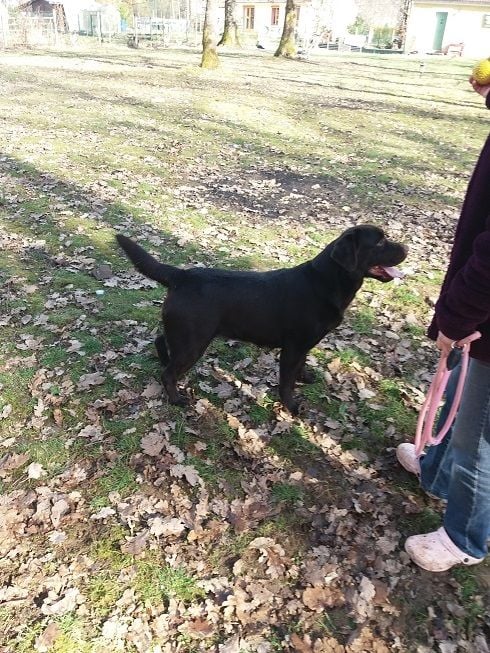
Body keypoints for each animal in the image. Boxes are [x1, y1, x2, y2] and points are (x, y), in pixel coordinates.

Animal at [117, 225, 408, 412]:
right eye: (379, 242)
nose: (406, 247)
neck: (326, 282)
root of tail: (181, 275)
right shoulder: (293, 348)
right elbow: (286, 382)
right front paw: (291, 406)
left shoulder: (303, 345)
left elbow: (301, 367)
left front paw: (306, 377)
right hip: (194, 341)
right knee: (168, 373)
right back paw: (176, 399)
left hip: (184, 334)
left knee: (161, 341)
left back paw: (165, 362)